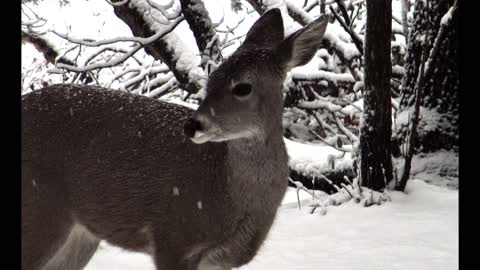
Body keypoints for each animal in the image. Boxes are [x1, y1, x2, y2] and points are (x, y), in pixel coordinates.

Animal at [22, 8, 328, 270]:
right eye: (211, 78)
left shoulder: (220, 260)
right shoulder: (173, 239)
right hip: (39, 208)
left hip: (81, 234)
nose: (192, 125)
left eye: (243, 87)